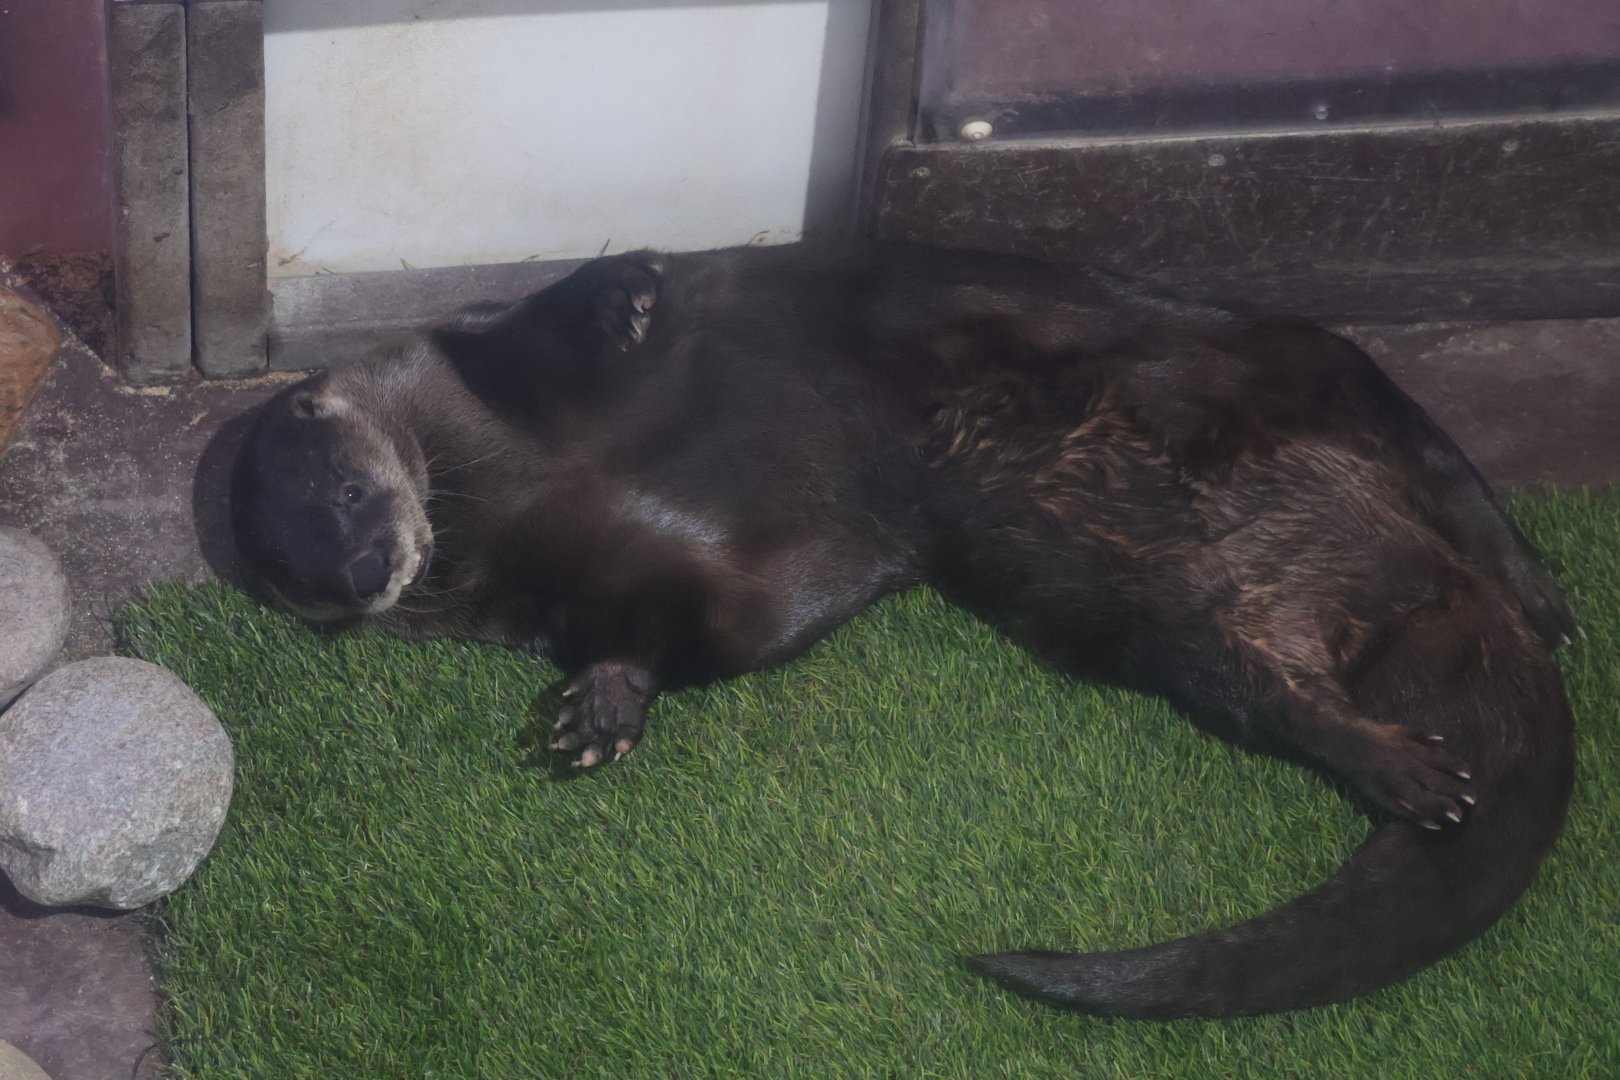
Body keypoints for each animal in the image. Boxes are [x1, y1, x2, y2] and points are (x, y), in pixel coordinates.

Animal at [231, 242, 1575, 1019]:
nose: (364, 570)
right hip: (1147, 608)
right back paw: (1401, 764)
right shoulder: (583, 586)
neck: (500, 483)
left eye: (342, 493)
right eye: (295, 570)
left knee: (1420, 436)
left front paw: (626, 287)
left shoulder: (493, 357)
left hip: (1276, 355)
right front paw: (607, 704)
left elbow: (568, 311)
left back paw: (1540, 592)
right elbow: (682, 632)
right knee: (1249, 678)